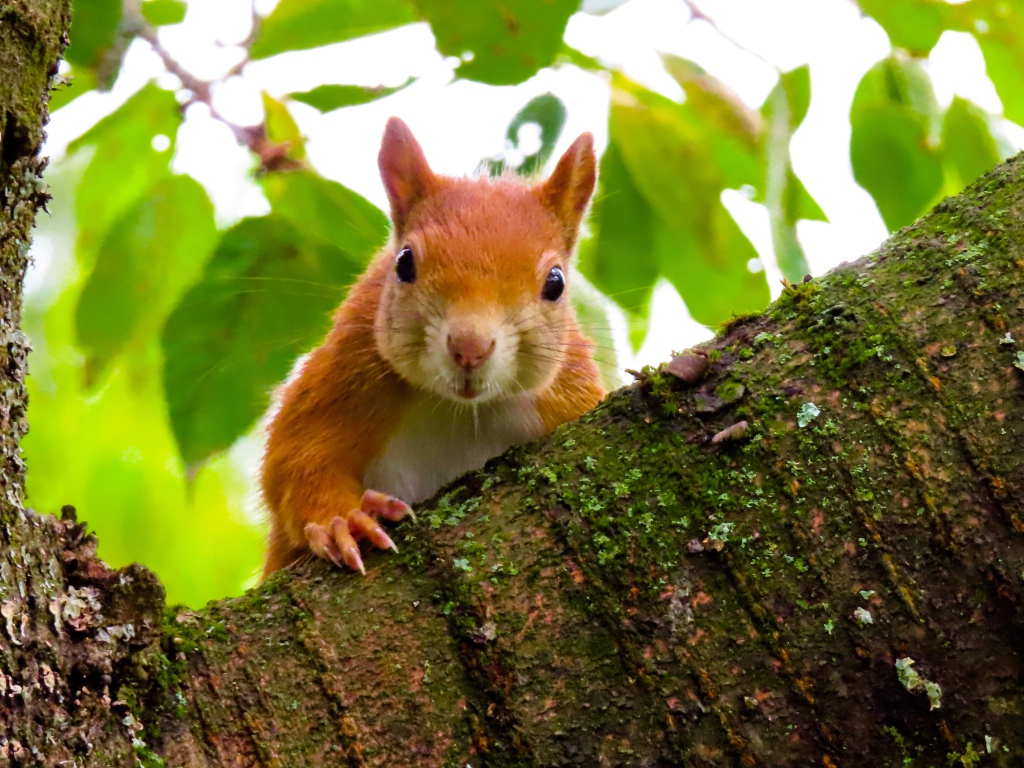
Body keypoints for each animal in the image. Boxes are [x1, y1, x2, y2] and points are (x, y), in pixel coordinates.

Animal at [260, 115, 606, 577]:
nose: (470, 347)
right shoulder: (345, 372)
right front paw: (343, 520)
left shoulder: (568, 394)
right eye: (404, 262)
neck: (461, 412)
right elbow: (296, 461)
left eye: (556, 282)